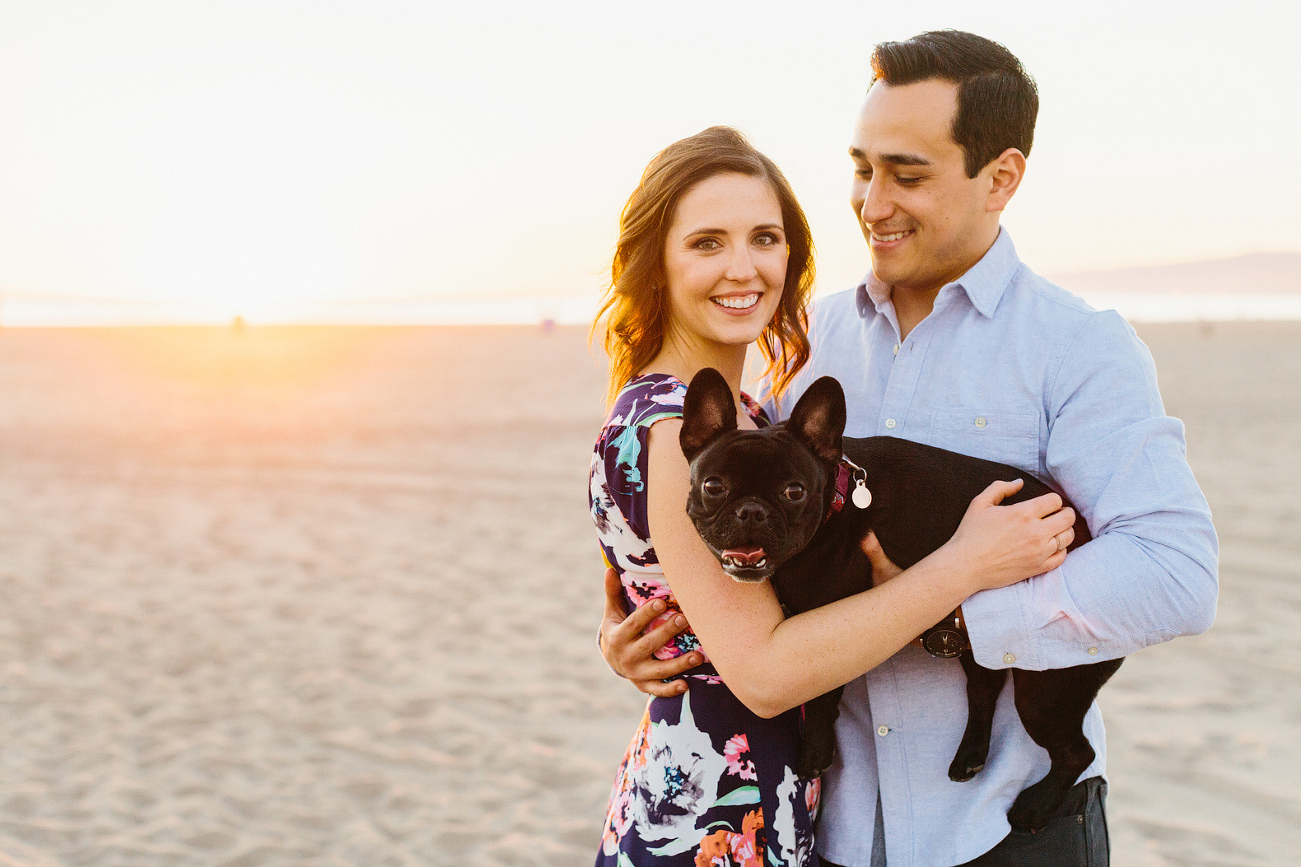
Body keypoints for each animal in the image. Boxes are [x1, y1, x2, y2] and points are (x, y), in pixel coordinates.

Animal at [681, 367, 1118, 833]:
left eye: (794, 492)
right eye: (713, 485)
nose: (751, 511)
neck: (838, 498)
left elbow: (820, 701)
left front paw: (814, 754)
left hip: (1045, 692)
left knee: (1076, 752)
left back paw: (1034, 807)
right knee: (984, 689)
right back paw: (970, 758)